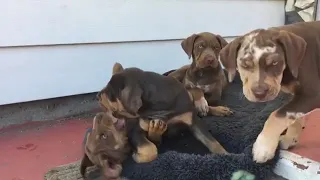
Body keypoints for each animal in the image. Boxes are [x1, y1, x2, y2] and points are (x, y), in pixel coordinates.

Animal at [97, 63, 228, 163]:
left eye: (109, 93)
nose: (97, 95)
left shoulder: (193, 121)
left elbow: (212, 142)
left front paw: (225, 155)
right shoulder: (136, 130)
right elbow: (150, 148)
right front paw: (137, 157)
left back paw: (216, 109)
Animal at [219, 20, 320, 163]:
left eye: (274, 63)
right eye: (245, 64)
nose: (260, 93)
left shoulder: (312, 94)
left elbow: (276, 115)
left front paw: (263, 147)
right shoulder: (298, 97)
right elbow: (294, 116)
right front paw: (290, 138)